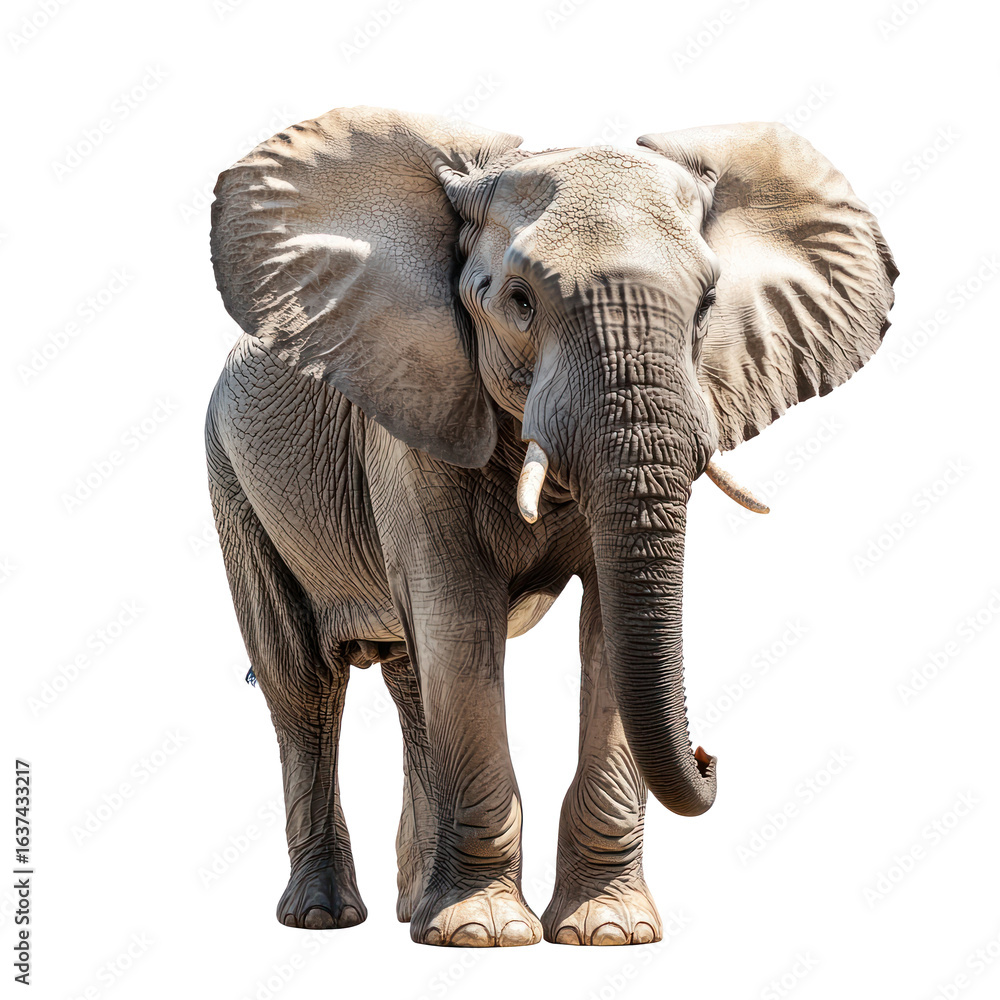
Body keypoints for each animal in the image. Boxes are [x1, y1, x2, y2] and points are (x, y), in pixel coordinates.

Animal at [206, 106, 896, 947]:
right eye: (519, 301)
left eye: (706, 305)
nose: (709, 755)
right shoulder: (412, 410)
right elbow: (459, 618)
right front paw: (480, 935)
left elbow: (605, 634)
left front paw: (609, 933)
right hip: (232, 477)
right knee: (303, 684)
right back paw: (325, 917)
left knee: (410, 681)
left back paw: (410, 909)